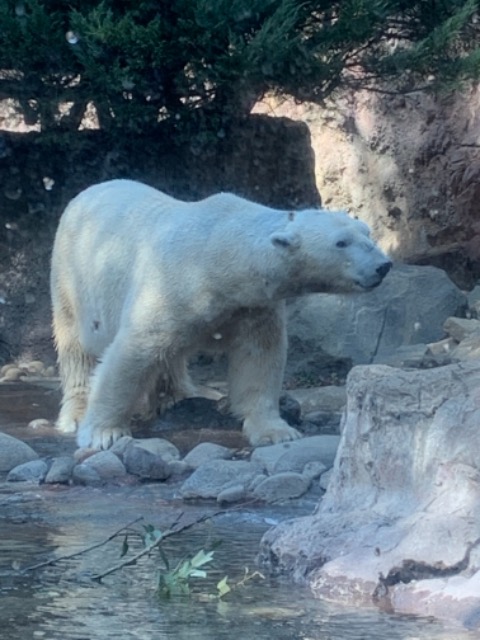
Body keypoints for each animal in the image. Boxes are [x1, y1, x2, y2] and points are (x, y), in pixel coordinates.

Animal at [50, 180, 392, 450]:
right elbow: (131, 353)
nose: (383, 265)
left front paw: (276, 431)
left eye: (367, 232)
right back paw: (77, 412)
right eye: (341, 242)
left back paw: (177, 396)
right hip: (71, 276)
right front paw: (102, 433)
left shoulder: (253, 305)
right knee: (76, 347)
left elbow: (259, 358)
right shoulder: (167, 284)